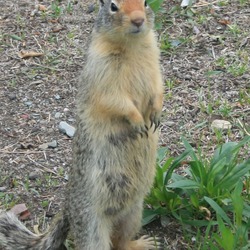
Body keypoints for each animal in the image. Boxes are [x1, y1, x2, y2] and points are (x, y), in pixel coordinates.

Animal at [0, 0, 163, 249]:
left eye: (145, 3)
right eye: (113, 6)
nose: (138, 20)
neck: (132, 46)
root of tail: (67, 210)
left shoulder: (155, 66)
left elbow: (158, 90)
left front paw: (156, 113)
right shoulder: (103, 77)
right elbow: (118, 102)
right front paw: (137, 121)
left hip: (133, 213)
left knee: (121, 241)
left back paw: (143, 243)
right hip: (92, 227)